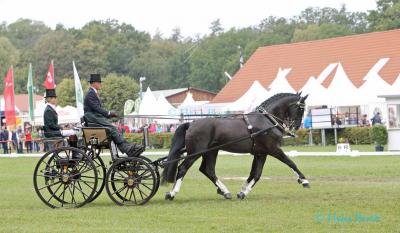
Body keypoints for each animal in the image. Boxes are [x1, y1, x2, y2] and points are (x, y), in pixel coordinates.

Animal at [162, 92, 310, 199]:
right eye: (301, 108)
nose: (296, 126)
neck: (266, 120)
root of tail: (192, 123)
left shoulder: (260, 153)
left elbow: (255, 174)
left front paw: (243, 192)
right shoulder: (273, 149)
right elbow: (291, 163)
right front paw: (304, 181)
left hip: (211, 152)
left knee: (208, 170)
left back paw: (225, 192)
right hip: (196, 152)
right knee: (183, 169)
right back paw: (172, 193)